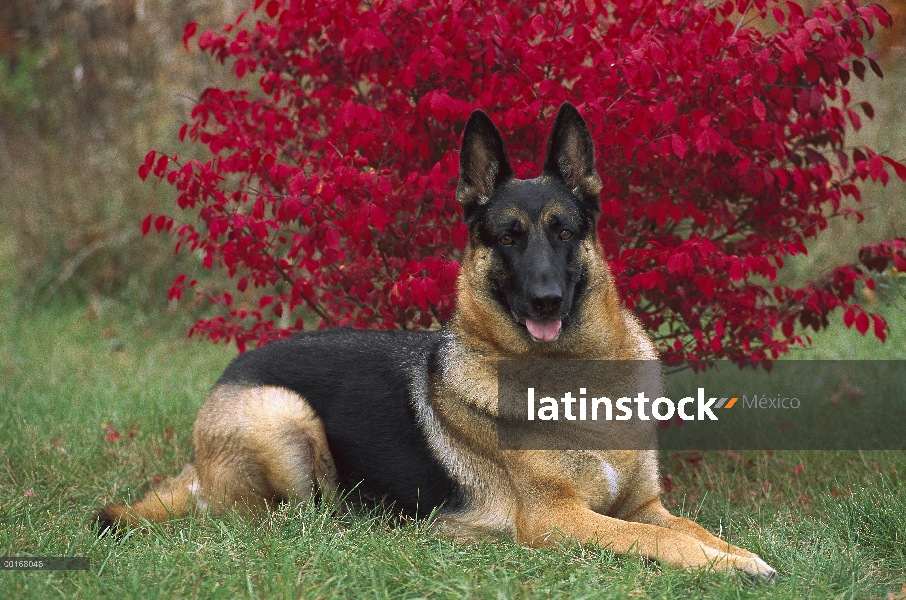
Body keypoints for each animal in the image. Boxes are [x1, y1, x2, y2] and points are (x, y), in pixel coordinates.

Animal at [97, 103, 776, 580]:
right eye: (507, 237)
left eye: (564, 232)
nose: (546, 299)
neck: (574, 377)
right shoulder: (557, 520)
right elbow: (656, 539)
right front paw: (726, 566)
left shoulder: (642, 505)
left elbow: (690, 528)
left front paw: (737, 553)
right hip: (284, 416)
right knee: (292, 517)